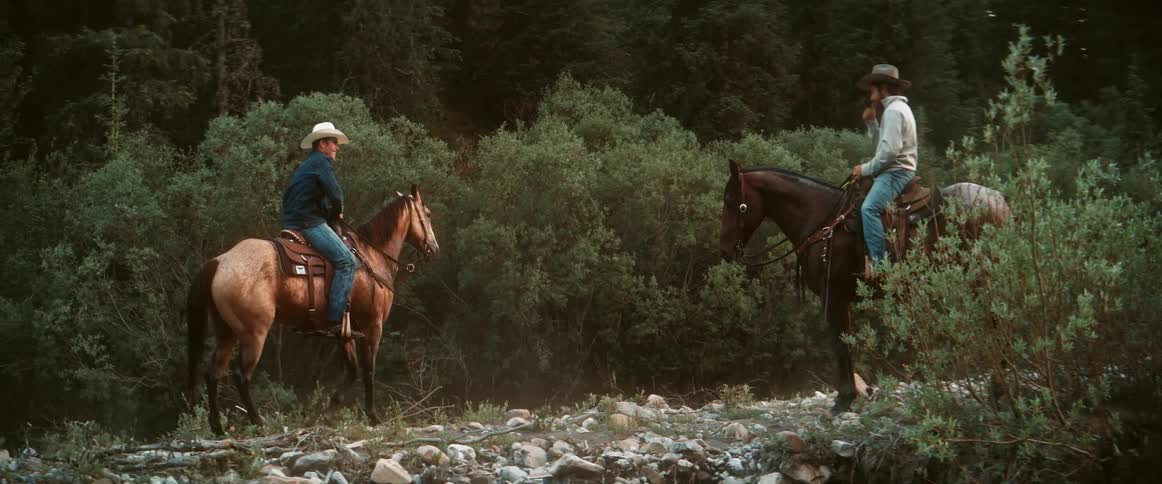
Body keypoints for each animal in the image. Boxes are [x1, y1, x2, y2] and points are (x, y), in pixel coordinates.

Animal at [186, 185, 439, 435]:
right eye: (427, 214)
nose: (434, 249)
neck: (371, 256)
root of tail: (220, 261)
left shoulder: (345, 333)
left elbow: (353, 370)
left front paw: (328, 412)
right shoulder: (373, 326)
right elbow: (368, 371)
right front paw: (373, 417)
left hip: (226, 333)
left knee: (213, 373)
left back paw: (218, 428)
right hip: (254, 333)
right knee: (242, 376)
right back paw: (258, 423)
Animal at [718, 161, 1009, 412]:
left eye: (734, 203)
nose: (725, 251)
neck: (822, 220)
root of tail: (998, 200)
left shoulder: (833, 295)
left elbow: (839, 344)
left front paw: (844, 399)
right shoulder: (842, 298)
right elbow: (846, 342)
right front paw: (854, 395)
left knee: (996, 326)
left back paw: (999, 392)